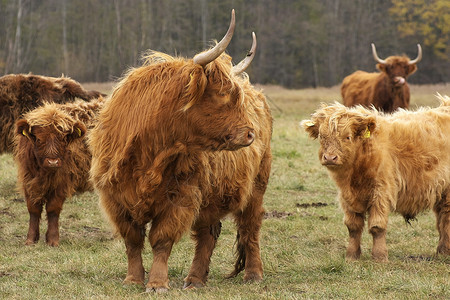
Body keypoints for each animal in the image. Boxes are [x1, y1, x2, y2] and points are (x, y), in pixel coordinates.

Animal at [13, 97, 105, 247]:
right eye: (39, 139)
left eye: (63, 139)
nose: (53, 162)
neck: (43, 174)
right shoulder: (28, 180)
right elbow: (33, 209)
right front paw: (31, 240)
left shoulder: (61, 183)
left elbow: (52, 209)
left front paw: (52, 240)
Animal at [88, 9, 270, 292]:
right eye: (222, 94)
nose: (250, 134)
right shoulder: (115, 198)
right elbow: (132, 240)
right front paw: (133, 279)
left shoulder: (181, 196)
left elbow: (161, 239)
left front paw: (157, 283)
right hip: (211, 195)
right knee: (208, 233)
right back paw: (195, 279)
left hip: (257, 187)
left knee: (250, 226)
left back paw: (253, 274)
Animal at [300, 96, 450, 262]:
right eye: (322, 136)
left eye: (347, 137)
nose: (330, 158)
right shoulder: (347, 197)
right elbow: (353, 226)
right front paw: (351, 256)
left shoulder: (381, 192)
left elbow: (377, 226)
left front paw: (379, 257)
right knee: (441, 219)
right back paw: (441, 251)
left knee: (446, 218)